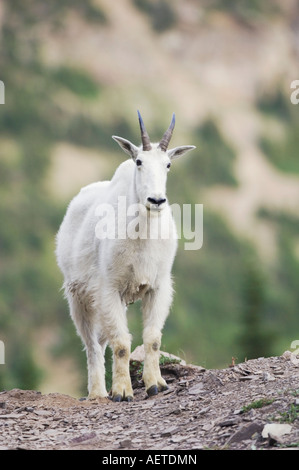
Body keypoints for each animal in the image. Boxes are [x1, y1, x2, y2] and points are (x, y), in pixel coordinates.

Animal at [55, 112, 197, 402]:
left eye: (168, 165)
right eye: (139, 161)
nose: (156, 200)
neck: (143, 234)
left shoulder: (158, 286)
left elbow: (152, 338)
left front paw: (155, 384)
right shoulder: (109, 287)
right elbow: (121, 344)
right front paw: (122, 391)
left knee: (101, 341)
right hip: (78, 295)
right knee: (92, 345)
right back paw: (98, 393)